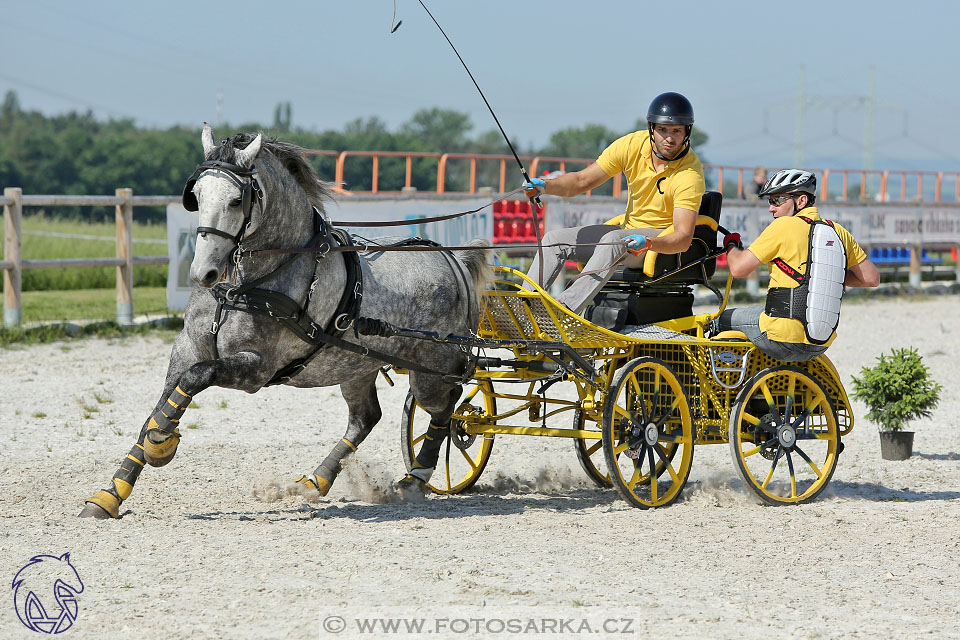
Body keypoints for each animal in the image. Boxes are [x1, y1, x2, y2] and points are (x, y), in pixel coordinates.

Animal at [79, 126, 488, 520]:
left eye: (236, 200)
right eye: (195, 194)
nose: (202, 273)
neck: (245, 286)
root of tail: (454, 261)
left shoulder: (256, 369)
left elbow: (196, 378)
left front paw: (160, 443)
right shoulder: (187, 349)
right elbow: (162, 404)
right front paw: (111, 494)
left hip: (430, 369)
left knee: (447, 407)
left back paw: (416, 478)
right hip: (355, 364)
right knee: (366, 417)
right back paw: (317, 480)